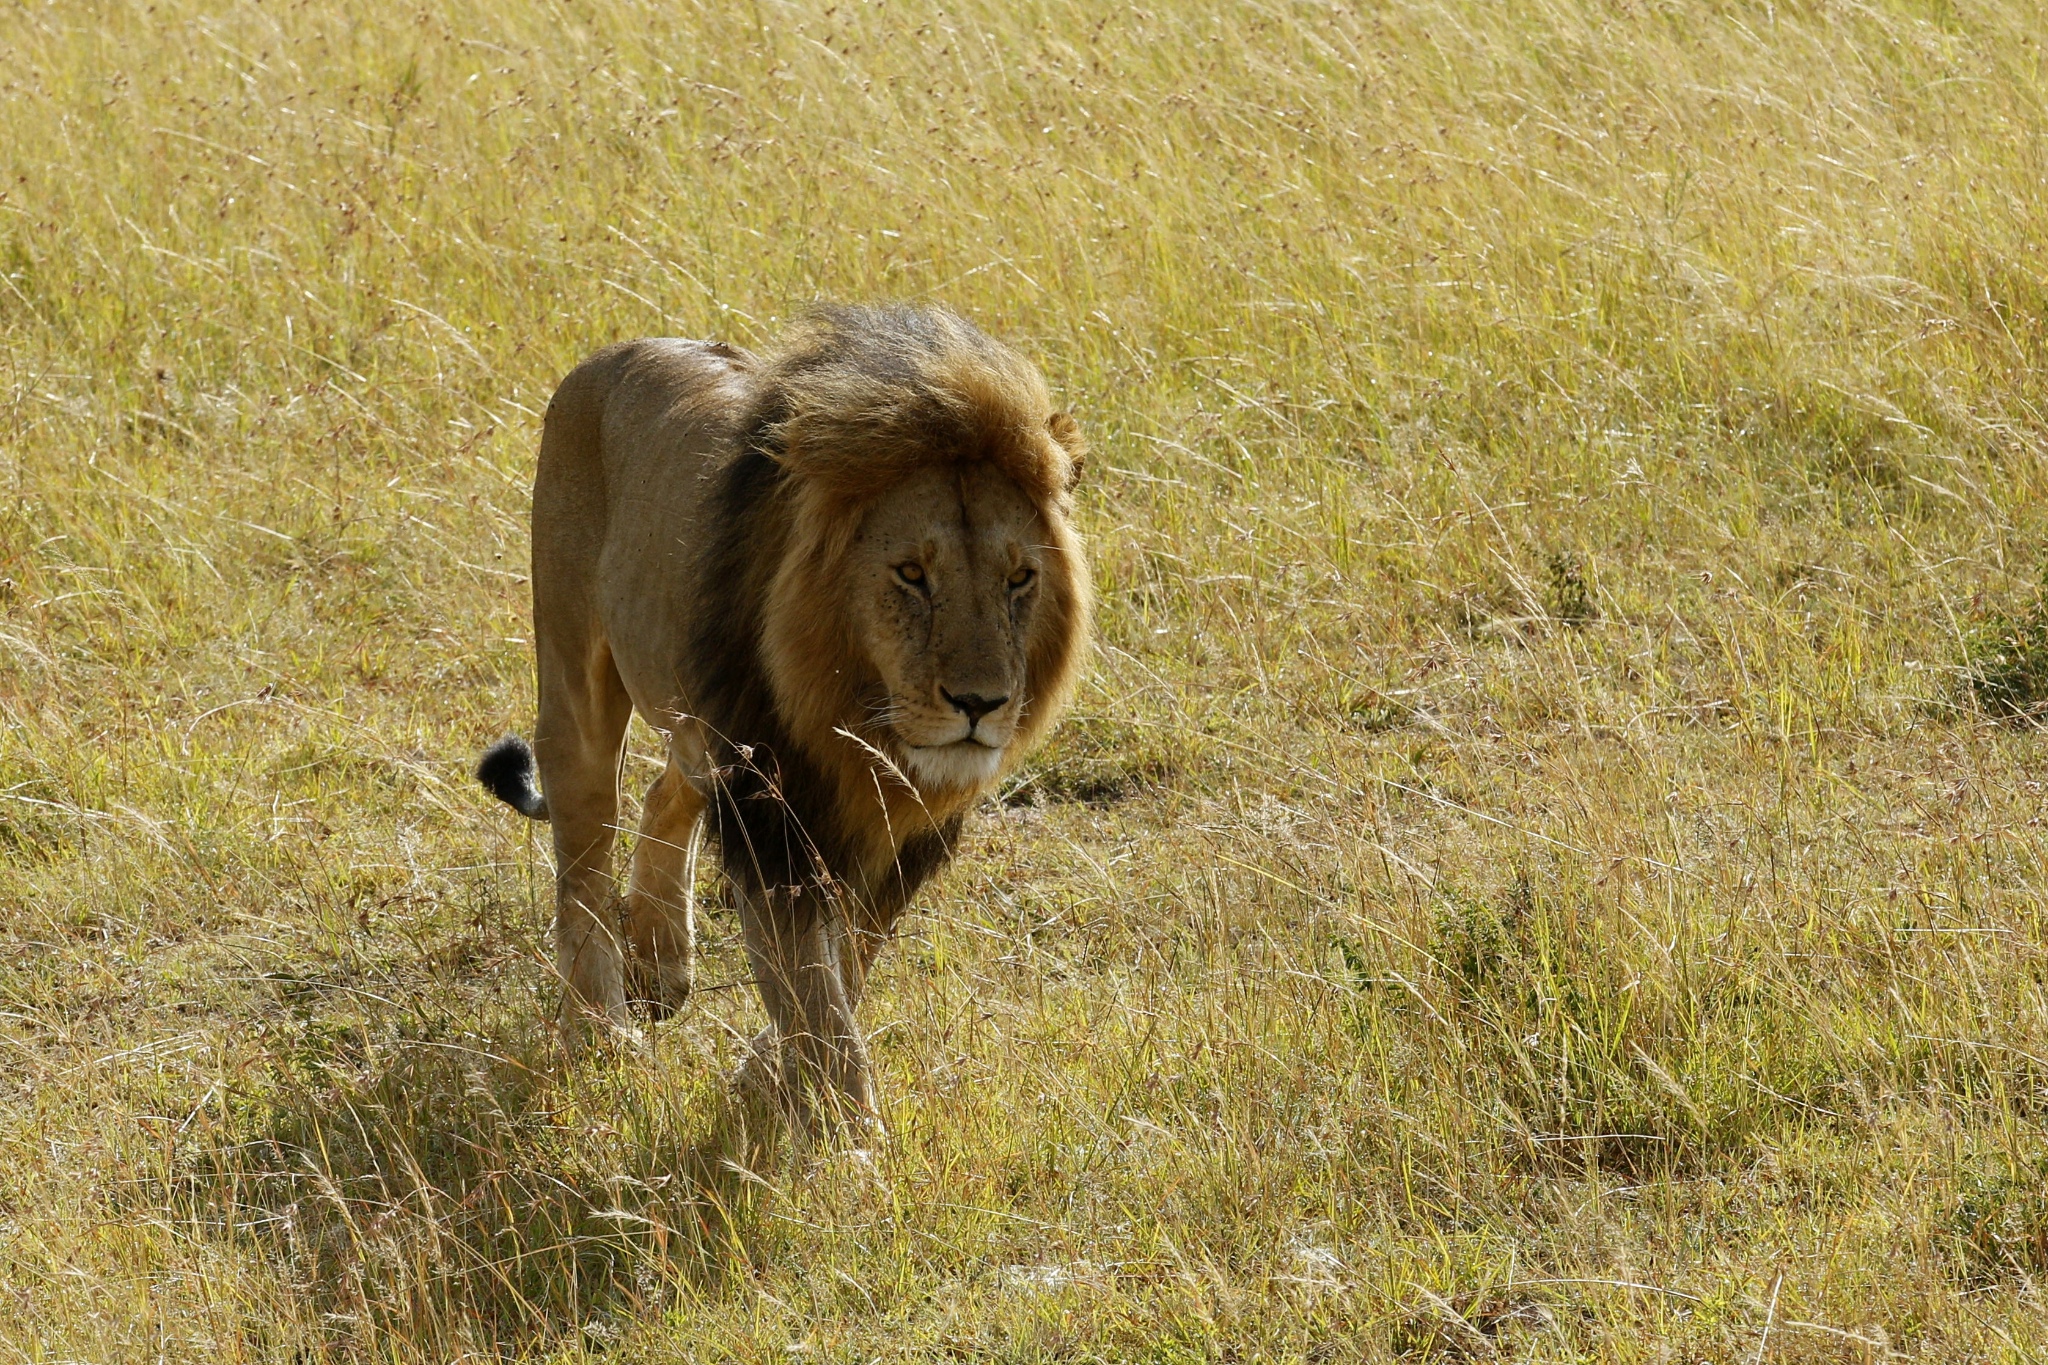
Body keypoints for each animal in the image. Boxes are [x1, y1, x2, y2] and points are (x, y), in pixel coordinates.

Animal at [475, 304, 1089, 1137]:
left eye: (1019, 578)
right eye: (912, 573)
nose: (981, 704)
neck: (865, 727)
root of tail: (611, 356)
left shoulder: (905, 837)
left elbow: (847, 968)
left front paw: (769, 1080)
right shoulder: (774, 819)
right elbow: (815, 996)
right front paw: (852, 1141)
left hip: (699, 710)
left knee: (665, 792)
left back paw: (660, 962)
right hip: (577, 680)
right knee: (583, 861)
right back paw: (599, 1033)